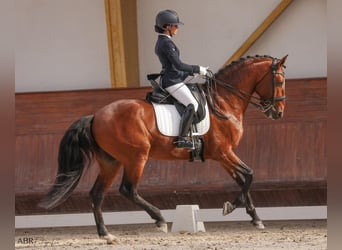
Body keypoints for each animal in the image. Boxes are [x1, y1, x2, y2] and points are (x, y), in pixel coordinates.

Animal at [38, 54, 288, 244]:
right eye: (280, 81)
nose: (278, 113)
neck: (224, 102)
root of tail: (95, 116)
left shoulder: (222, 156)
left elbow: (242, 179)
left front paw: (255, 218)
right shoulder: (224, 152)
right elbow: (249, 175)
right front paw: (230, 207)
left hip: (111, 162)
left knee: (97, 194)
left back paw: (105, 234)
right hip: (136, 157)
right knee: (128, 189)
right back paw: (158, 219)